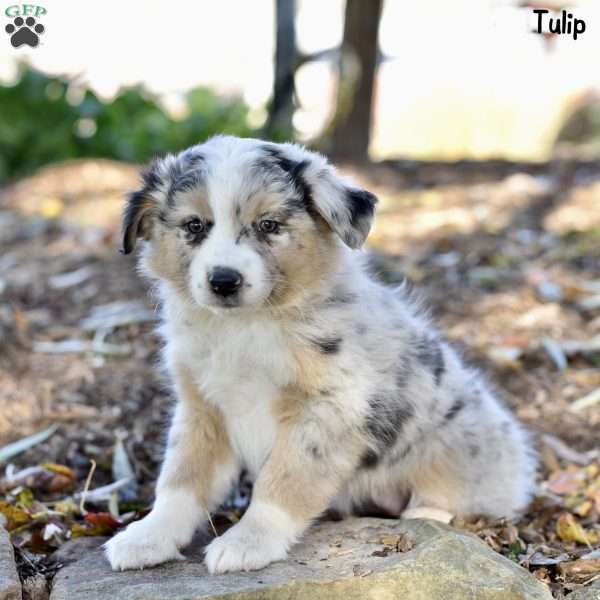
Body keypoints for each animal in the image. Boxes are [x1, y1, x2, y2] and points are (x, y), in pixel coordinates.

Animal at [104, 134, 540, 576]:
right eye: (194, 226)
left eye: (269, 225)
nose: (224, 281)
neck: (246, 326)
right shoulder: (202, 409)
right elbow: (180, 479)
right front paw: (147, 536)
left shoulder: (329, 409)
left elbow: (284, 480)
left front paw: (248, 542)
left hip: (457, 443)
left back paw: (425, 514)